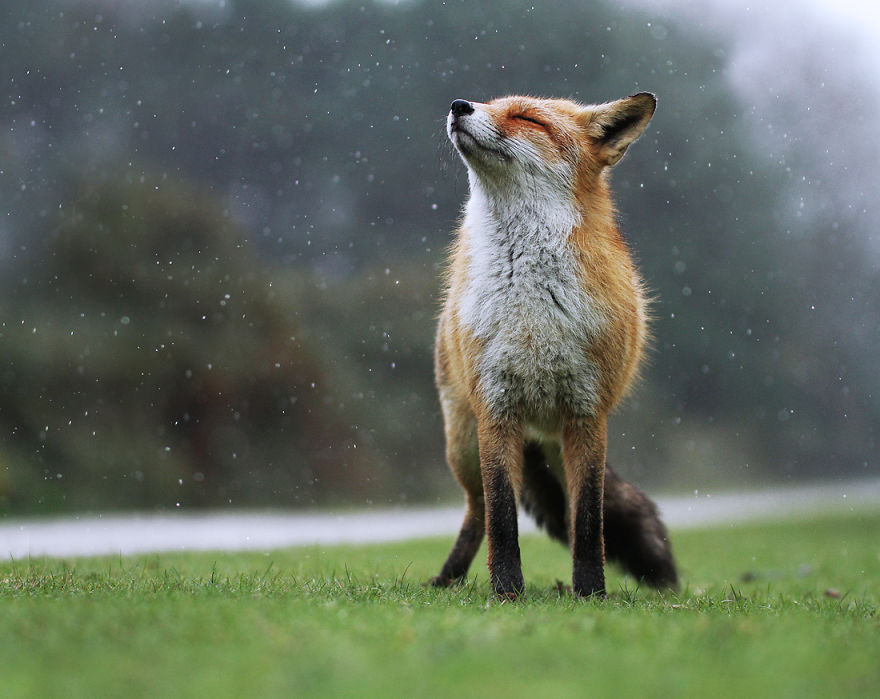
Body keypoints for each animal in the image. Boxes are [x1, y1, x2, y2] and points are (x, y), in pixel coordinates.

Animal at [430, 90, 676, 600]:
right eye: (487, 101)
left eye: (527, 118)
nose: (459, 104)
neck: (532, 309)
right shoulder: (496, 406)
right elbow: (503, 517)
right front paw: (507, 591)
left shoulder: (587, 413)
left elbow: (588, 521)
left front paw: (591, 593)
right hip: (461, 443)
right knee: (478, 509)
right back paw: (448, 578)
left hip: (561, 439)